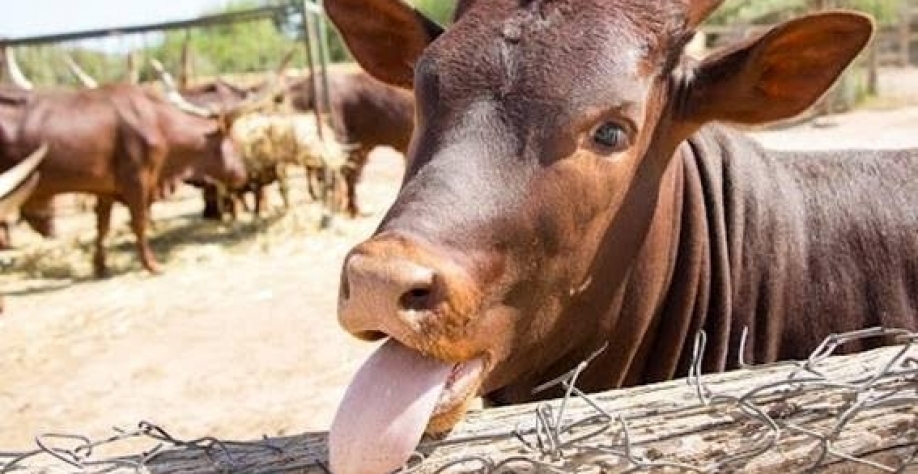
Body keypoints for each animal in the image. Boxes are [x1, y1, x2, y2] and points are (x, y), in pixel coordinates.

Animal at [1, 84, 247, 277]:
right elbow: (139, 223)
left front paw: (100, 266)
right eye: (235, 143)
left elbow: (103, 227)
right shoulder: (136, 182)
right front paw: (152, 265)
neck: (158, 122)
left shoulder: (105, 188)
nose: (243, 174)